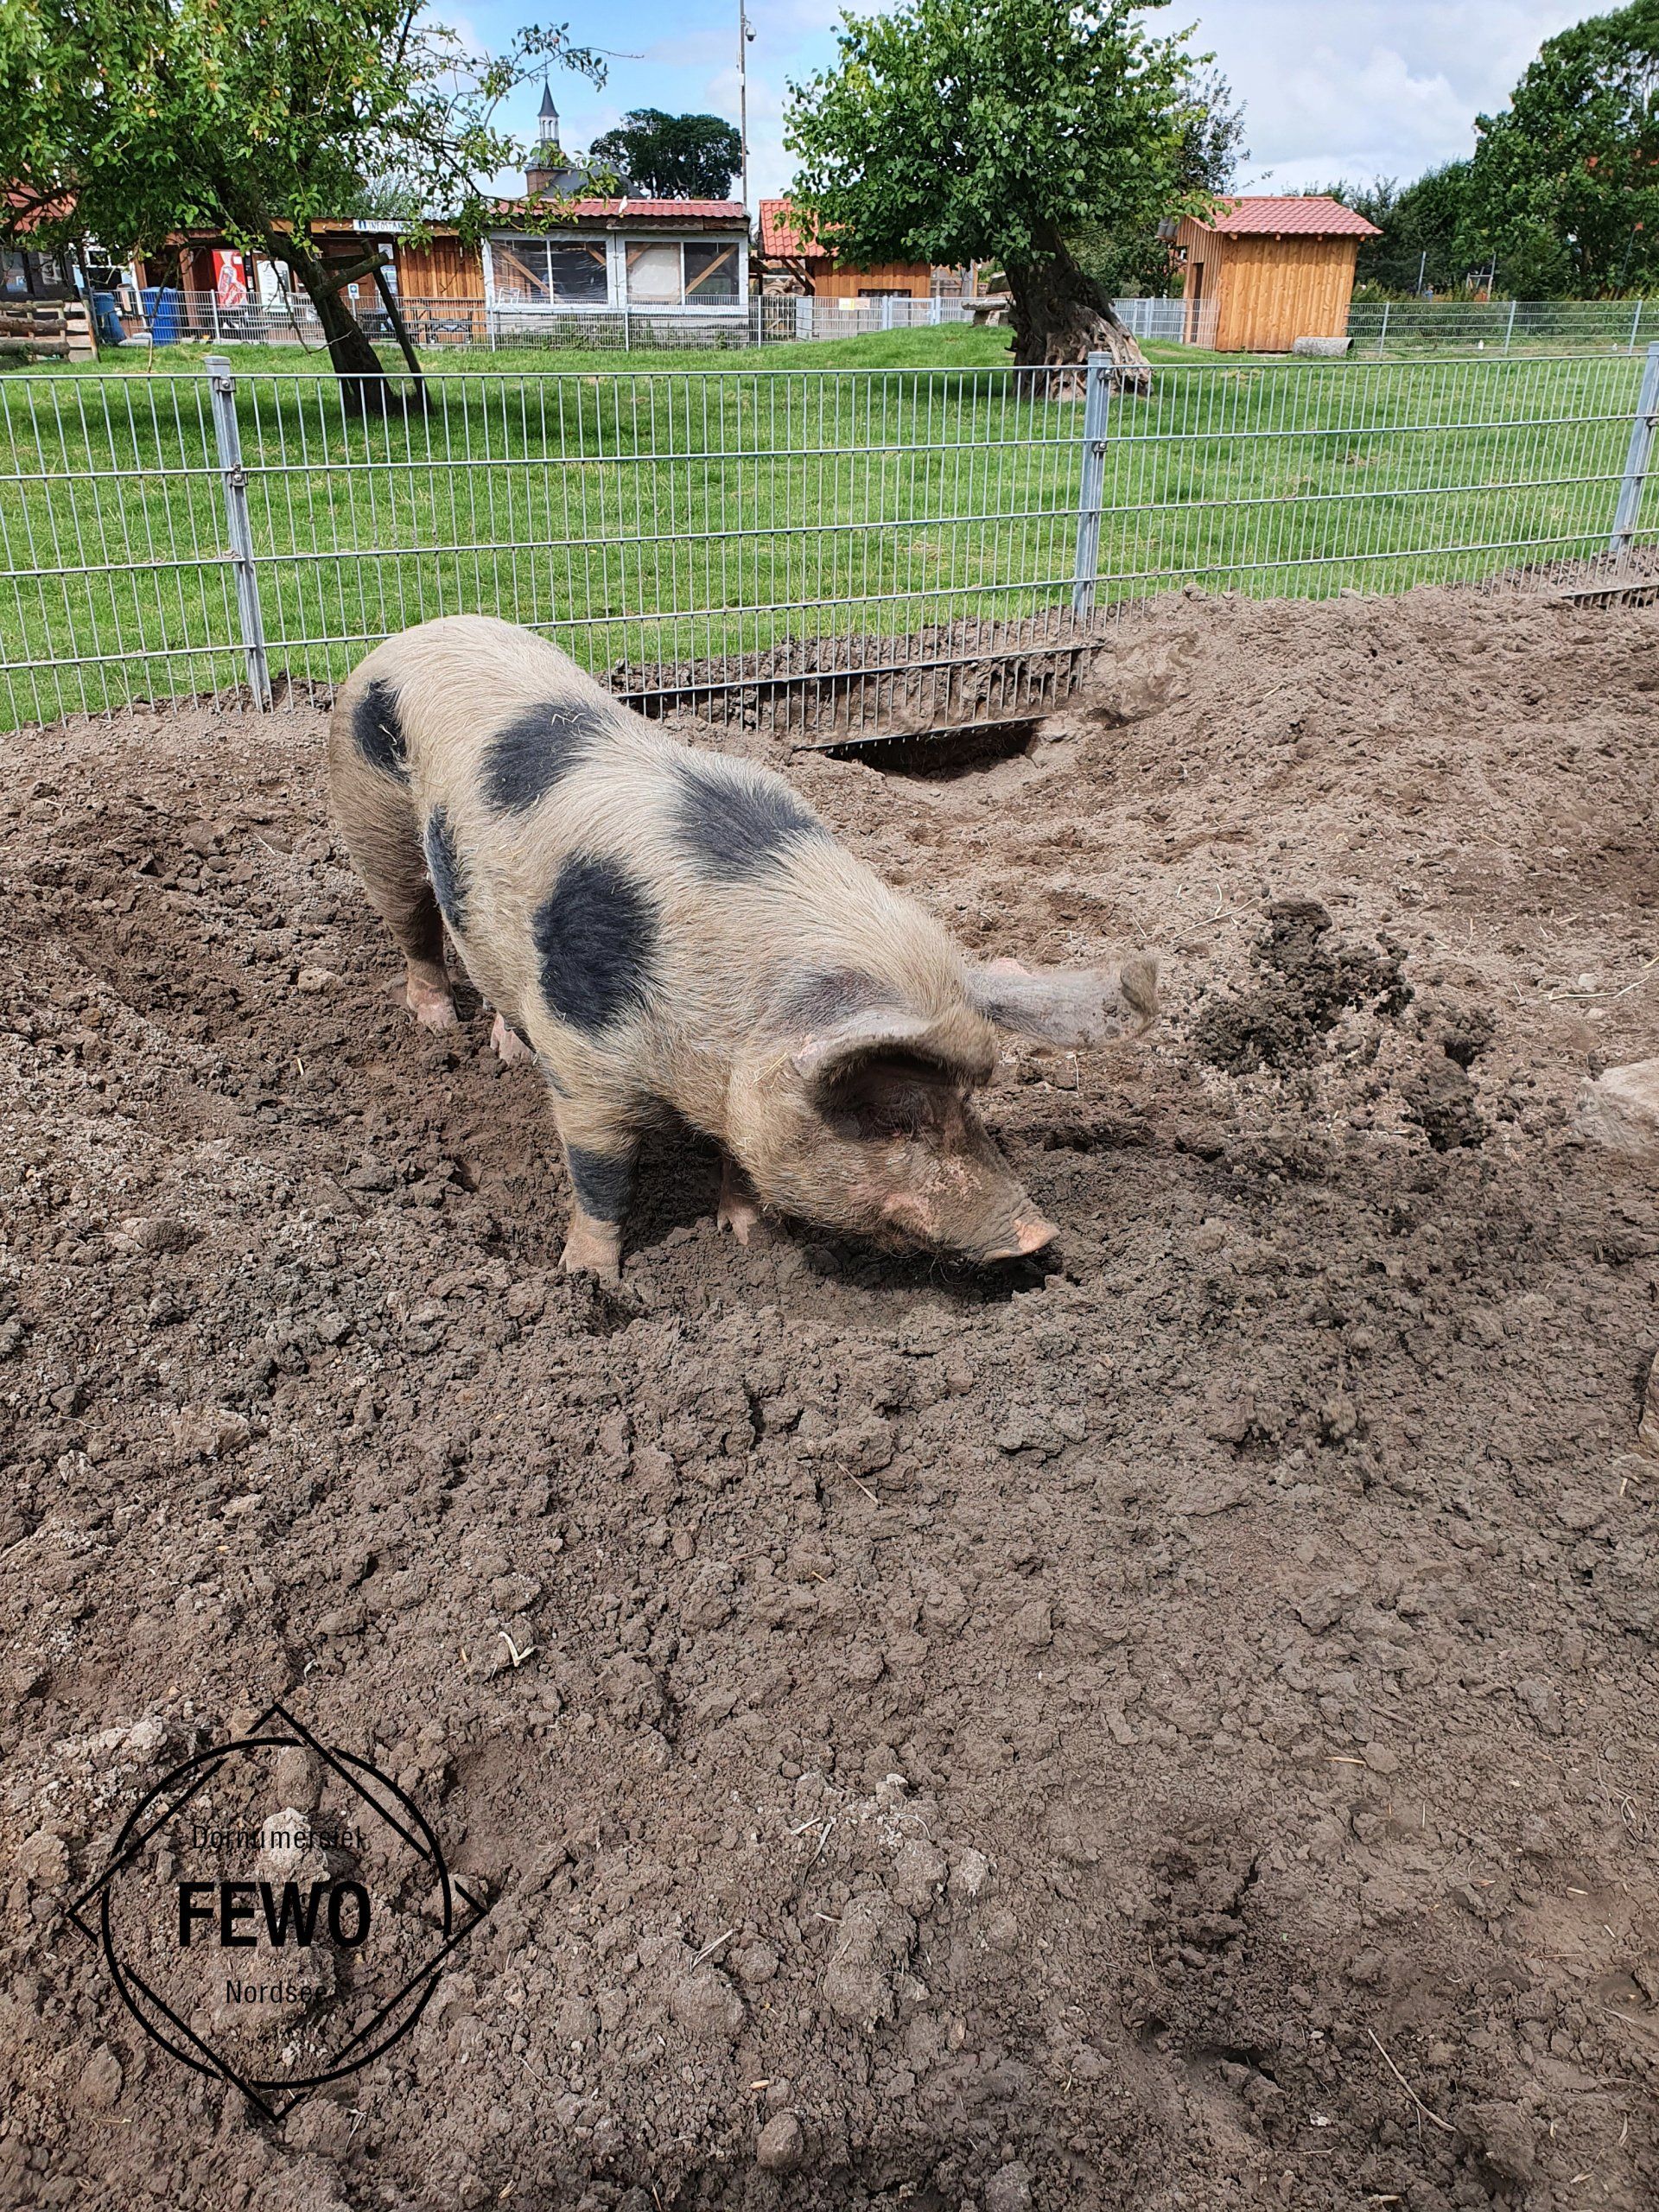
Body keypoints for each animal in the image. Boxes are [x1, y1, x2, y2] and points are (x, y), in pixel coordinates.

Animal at [326, 615, 1157, 1281]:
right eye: (894, 1116)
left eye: (967, 1100)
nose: (1037, 1234)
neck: (725, 1026)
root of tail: (418, 631)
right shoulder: (584, 1057)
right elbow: (602, 1176)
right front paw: (587, 1280)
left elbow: (745, 1162)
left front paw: (752, 1242)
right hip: (369, 811)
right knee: (414, 926)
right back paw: (439, 1026)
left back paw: (503, 1044)